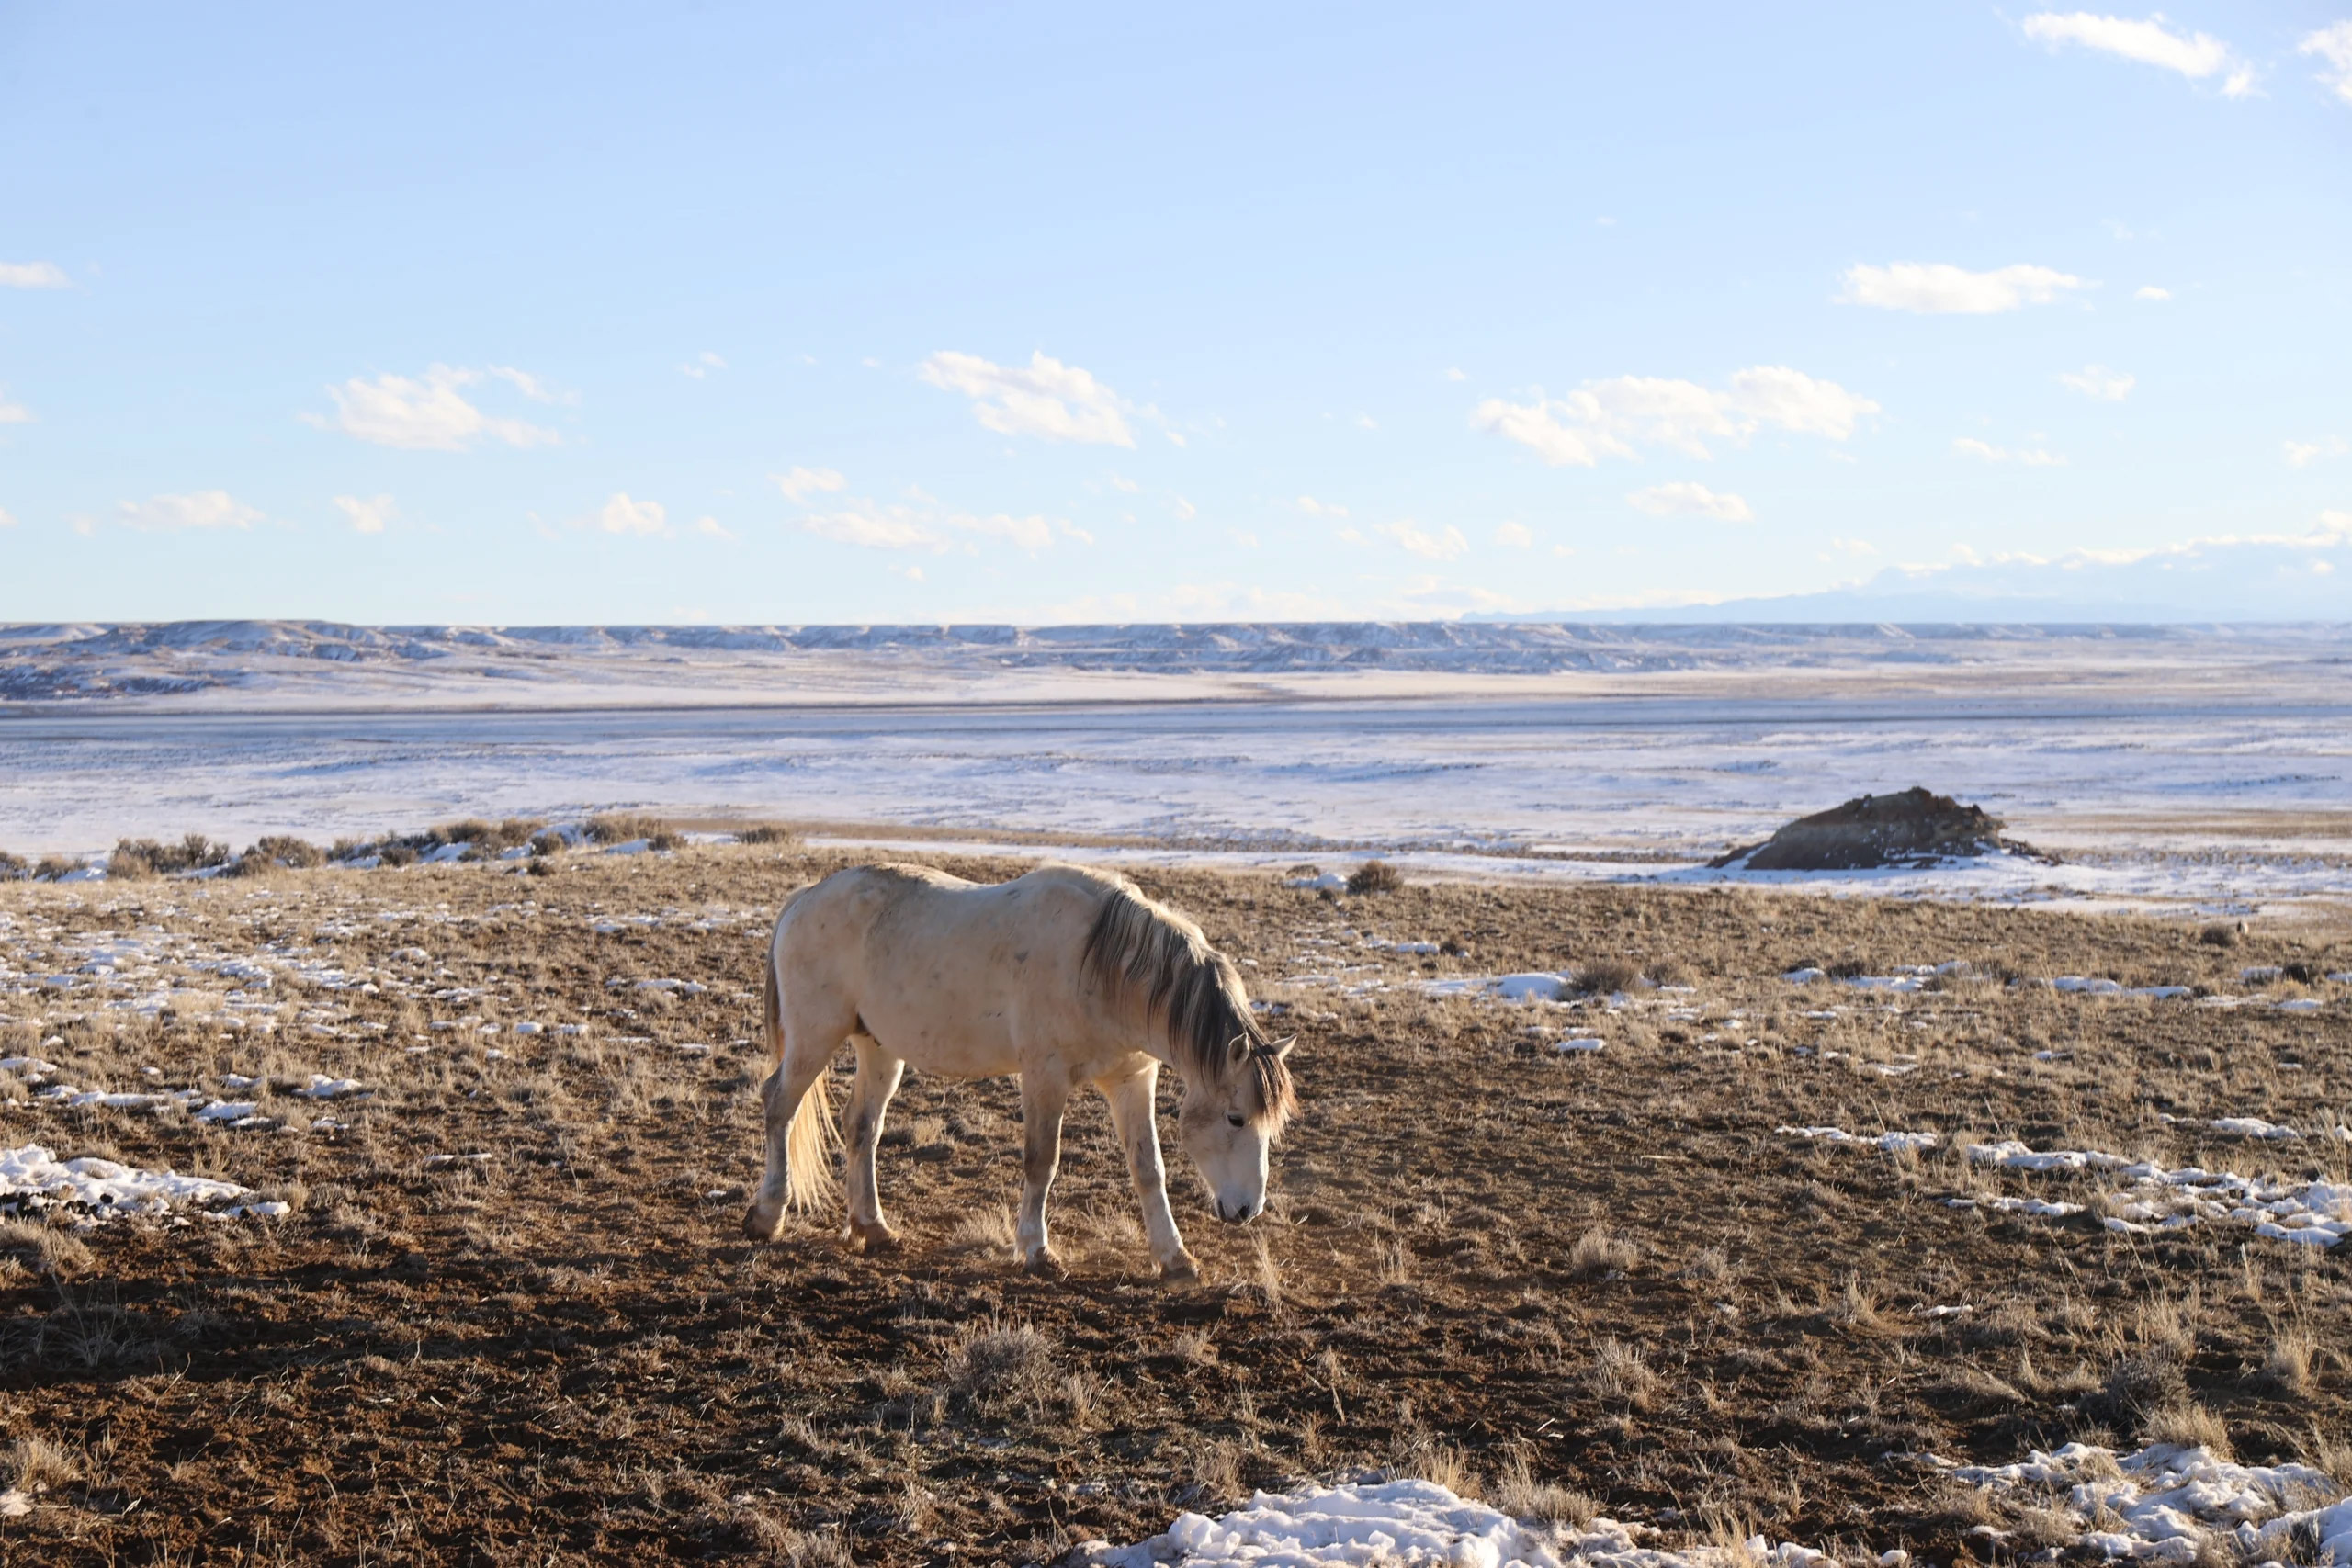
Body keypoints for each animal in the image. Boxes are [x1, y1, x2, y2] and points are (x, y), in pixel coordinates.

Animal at [742, 864, 1298, 1279]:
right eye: (1235, 1118)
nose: (1247, 1210)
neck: (1103, 966)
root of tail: (806, 898)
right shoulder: (1044, 1077)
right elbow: (1041, 1161)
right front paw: (1036, 1249)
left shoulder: (1131, 1081)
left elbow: (1148, 1168)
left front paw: (1175, 1258)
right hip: (814, 1040)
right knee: (779, 1106)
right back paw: (767, 1215)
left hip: (878, 1049)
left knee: (862, 1129)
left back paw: (873, 1228)